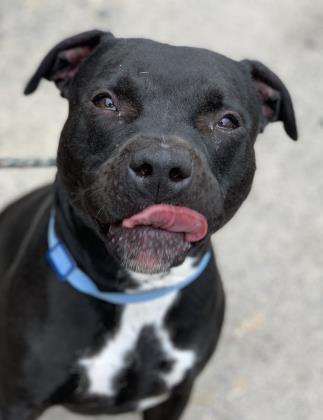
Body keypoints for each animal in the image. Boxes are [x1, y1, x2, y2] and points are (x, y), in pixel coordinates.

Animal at [0, 30, 298, 420]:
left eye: (227, 121)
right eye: (106, 101)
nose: (161, 165)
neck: (137, 296)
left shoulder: (173, 396)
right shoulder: (18, 401)